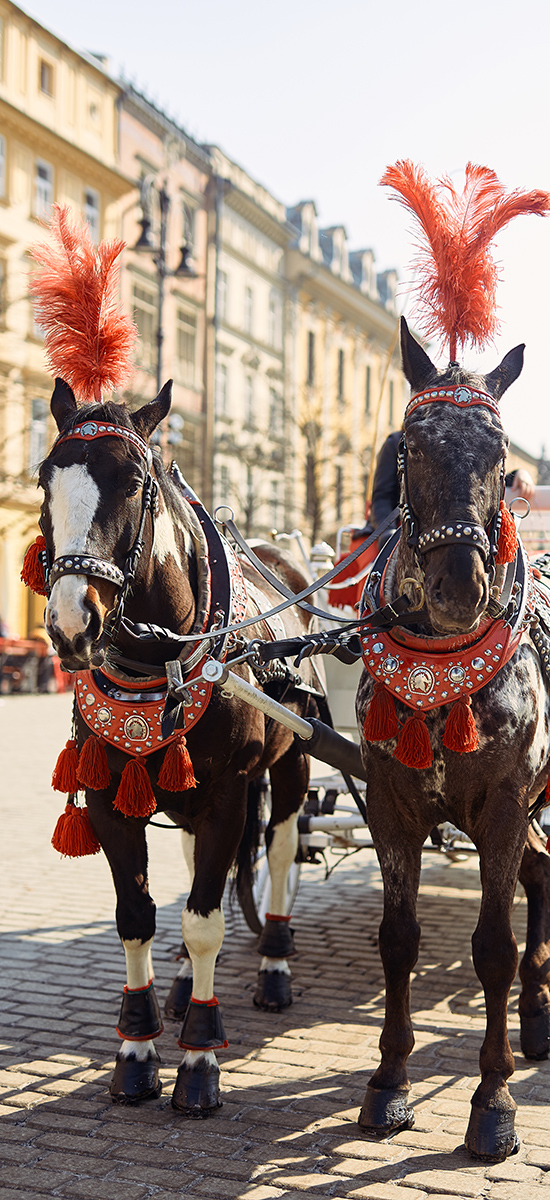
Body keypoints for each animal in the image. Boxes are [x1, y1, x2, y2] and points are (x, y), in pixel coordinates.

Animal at [37, 376, 321, 1115]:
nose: (72, 624)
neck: (156, 660)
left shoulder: (228, 793)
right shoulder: (110, 795)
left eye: (134, 482)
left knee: (281, 853)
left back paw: (273, 963)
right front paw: (136, 1050)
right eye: (45, 476)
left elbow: (203, 921)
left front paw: (198, 1060)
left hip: (293, 762)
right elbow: (137, 916)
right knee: (203, 867)